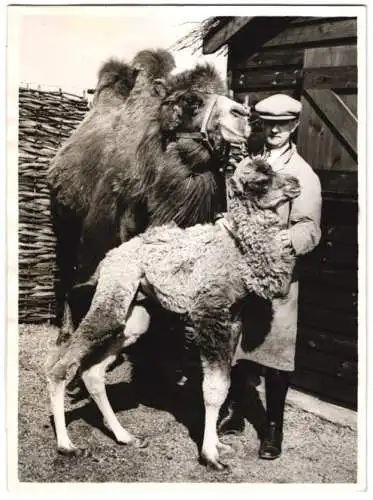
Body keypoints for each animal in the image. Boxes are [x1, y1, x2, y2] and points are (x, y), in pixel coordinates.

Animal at [46, 159, 300, 468]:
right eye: (261, 181)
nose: (296, 183)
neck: (236, 251)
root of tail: (108, 259)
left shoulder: (233, 318)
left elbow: (225, 382)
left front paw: (219, 445)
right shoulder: (208, 312)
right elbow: (213, 387)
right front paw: (210, 455)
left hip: (136, 313)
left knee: (94, 371)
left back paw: (127, 437)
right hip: (114, 294)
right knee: (63, 365)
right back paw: (66, 445)